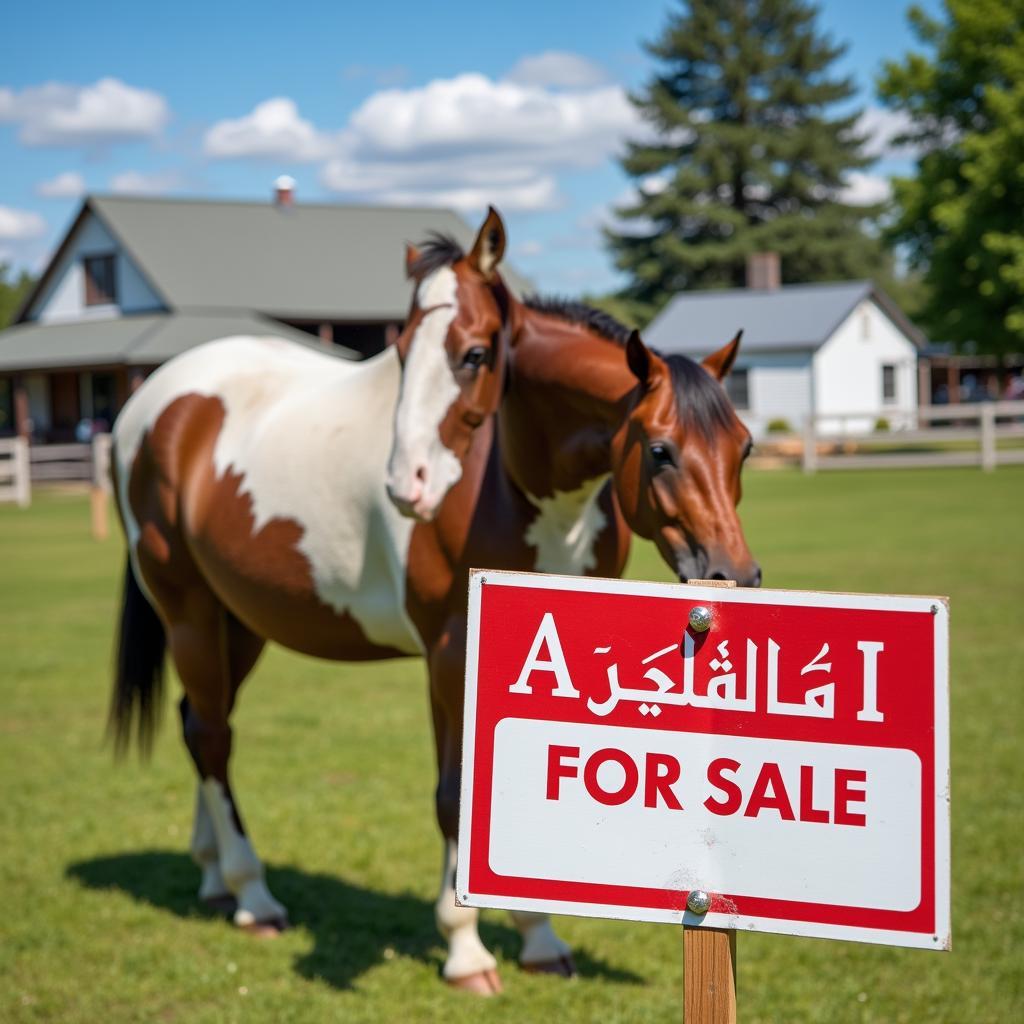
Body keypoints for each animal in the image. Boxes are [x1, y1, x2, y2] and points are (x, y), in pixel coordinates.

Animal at [110, 205, 761, 991]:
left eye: (744, 446)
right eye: (660, 451)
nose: (733, 573)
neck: (513, 484)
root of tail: (151, 403)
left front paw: (540, 939)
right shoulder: (450, 655)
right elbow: (457, 794)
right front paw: (466, 950)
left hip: (239, 622)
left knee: (198, 724)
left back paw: (214, 879)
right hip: (188, 612)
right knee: (211, 734)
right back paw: (253, 894)